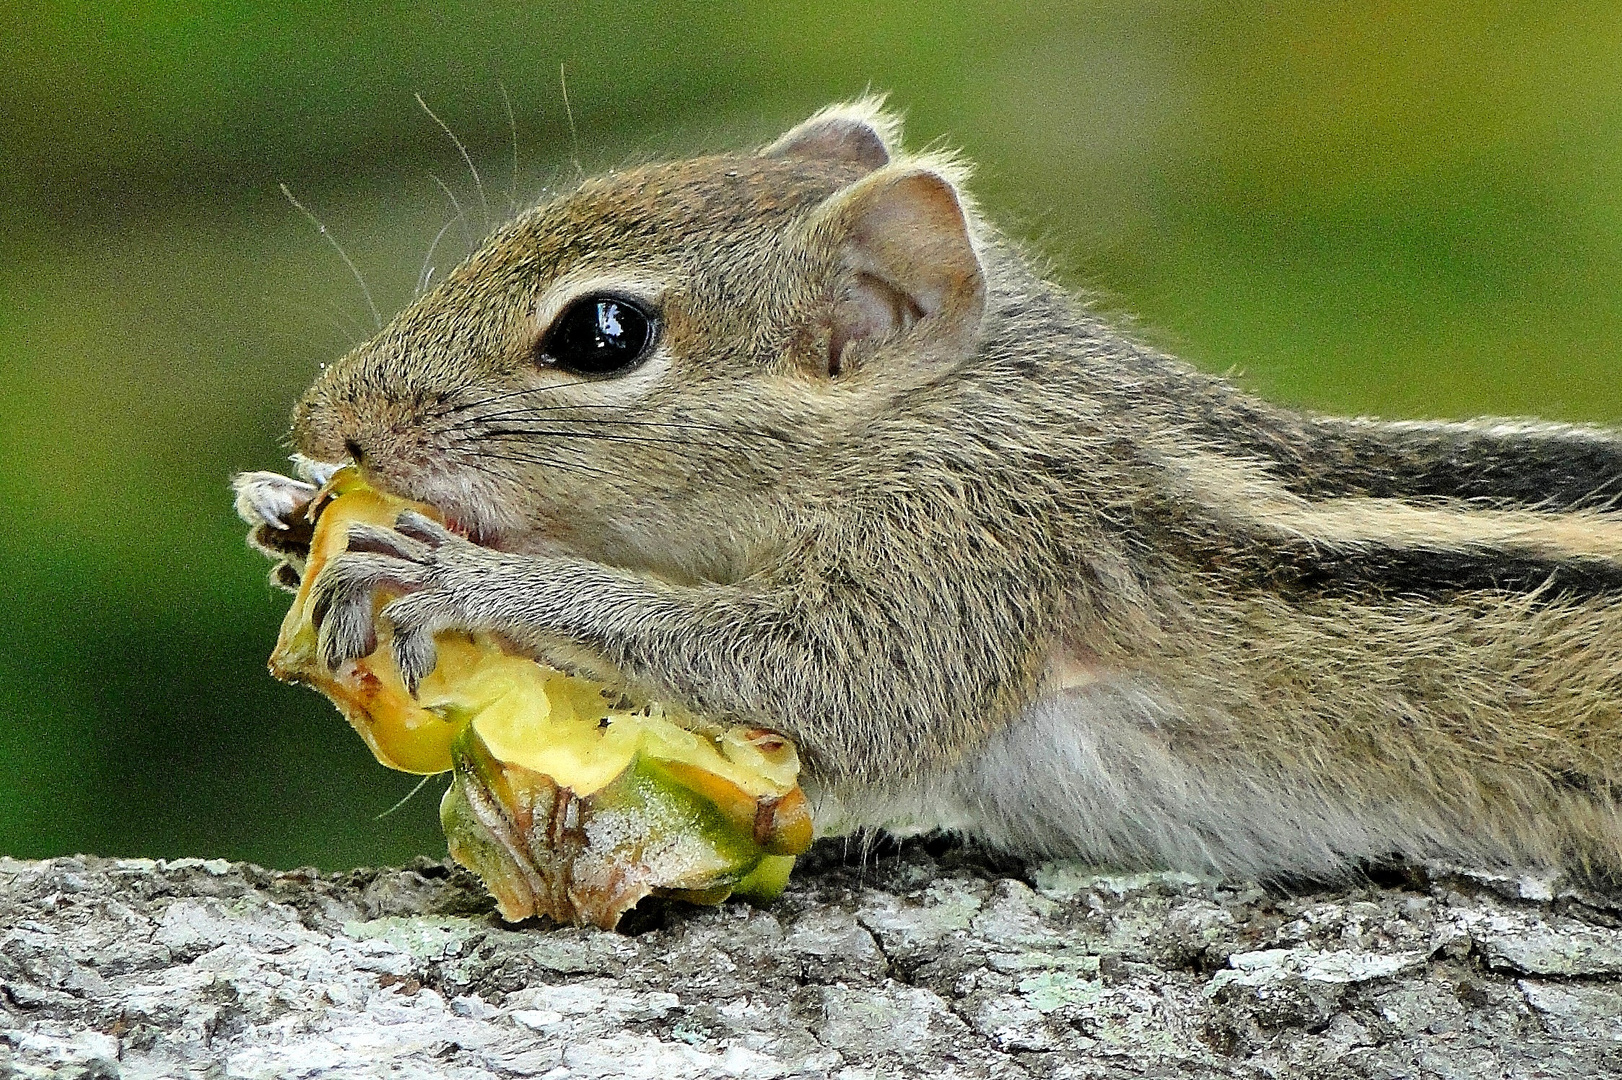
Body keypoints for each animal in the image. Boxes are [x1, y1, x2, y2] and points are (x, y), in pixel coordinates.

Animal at [235, 100, 1622, 888]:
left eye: (603, 334)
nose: (327, 420)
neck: (935, 415)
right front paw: (288, 508)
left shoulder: (968, 557)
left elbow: (826, 681)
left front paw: (460, 574)